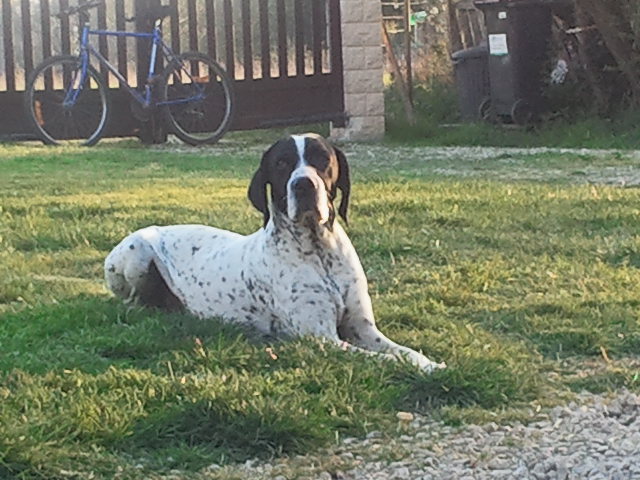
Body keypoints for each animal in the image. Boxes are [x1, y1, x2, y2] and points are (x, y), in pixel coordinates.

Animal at [104, 133, 445, 372]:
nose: (304, 185)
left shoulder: (363, 328)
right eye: (281, 163)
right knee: (133, 301)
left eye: (323, 159)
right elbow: (386, 359)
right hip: (138, 250)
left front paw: (431, 364)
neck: (319, 252)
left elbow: (406, 352)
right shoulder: (321, 337)